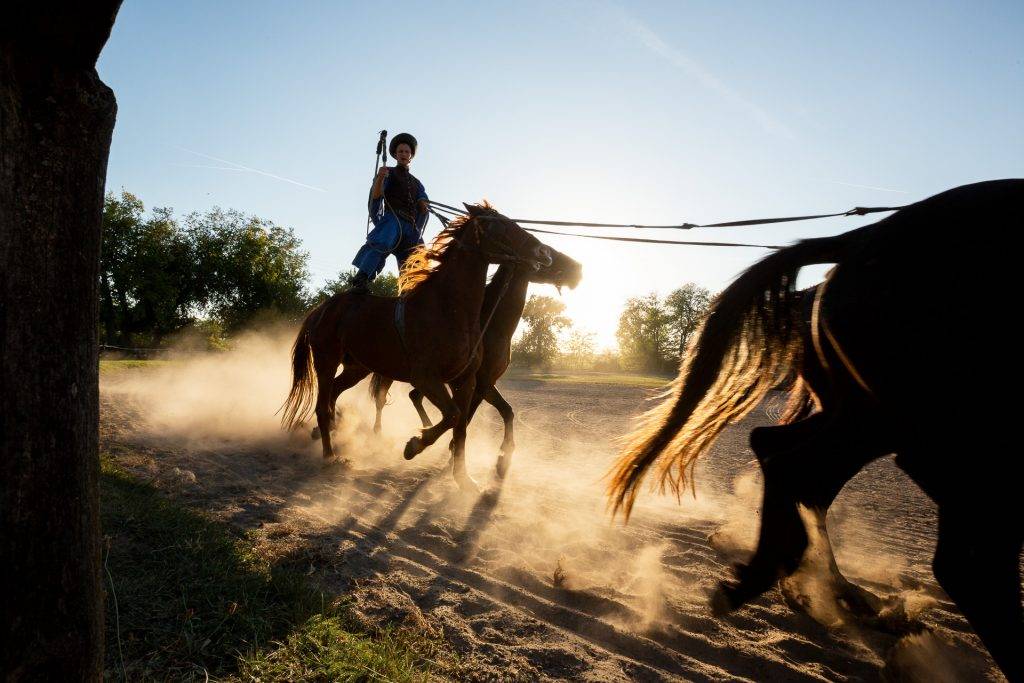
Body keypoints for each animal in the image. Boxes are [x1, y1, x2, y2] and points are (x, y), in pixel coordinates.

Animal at [278, 202, 552, 491]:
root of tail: (322, 309)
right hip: (326, 361)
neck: (449, 310)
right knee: (322, 406)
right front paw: (414, 445)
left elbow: (461, 426)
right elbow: (453, 415)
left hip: (357, 368)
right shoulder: (427, 379)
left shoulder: (466, 381)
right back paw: (330, 455)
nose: (543, 252)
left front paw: (463, 478)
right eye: (500, 225)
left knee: (334, 393)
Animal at [368, 248, 585, 479]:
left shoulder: (485, 384)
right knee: (381, 398)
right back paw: (379, 433)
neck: (491, 326)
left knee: (413, 396)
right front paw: (452, 452)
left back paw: (424, 427)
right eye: (547, 253)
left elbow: (506, 411)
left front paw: (502, 458)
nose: (577, 269)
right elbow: (468, 418)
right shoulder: (479, 383)